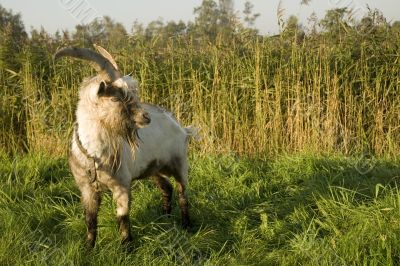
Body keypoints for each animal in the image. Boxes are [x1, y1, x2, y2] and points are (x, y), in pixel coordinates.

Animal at [54, 45, 194, 247]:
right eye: (115, 99)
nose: (146, 117)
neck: (94, 156)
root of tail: (181, 127)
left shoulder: (121, 184)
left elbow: (122, 218)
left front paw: (127, 247)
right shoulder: (86, 188)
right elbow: (90, 219)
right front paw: (89, 247)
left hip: (179, 163)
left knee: (183, 193)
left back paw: (186, 225)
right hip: (154, 168)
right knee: (166, 188)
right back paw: (165, 218)